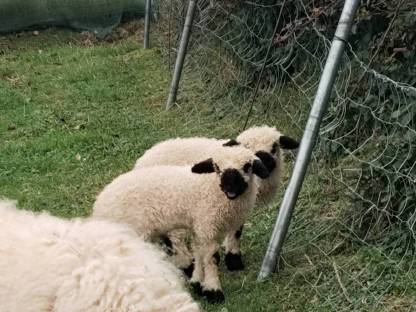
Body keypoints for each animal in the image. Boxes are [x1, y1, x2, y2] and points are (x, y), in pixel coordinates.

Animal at [92, 146, 268, 302]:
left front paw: (198, 283)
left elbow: (199, 254)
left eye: (247, 166)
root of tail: (99, 206)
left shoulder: (200, 227)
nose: (229, 186)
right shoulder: (207, 226)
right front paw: (213, 291)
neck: (212, 189)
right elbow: (211, 259)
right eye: (217, 167)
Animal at [133, 125, 300, 272]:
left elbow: (236, 230)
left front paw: (233, 261)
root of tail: (142, 160)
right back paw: (188, 266)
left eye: (275, 146)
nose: (263, 160)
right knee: (174, 237)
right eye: (246, 147)